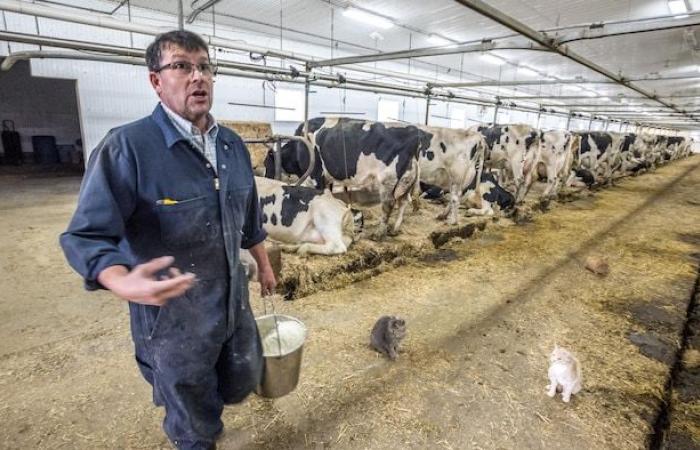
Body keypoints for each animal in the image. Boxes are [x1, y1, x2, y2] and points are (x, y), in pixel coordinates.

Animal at [264, 117, 432, 239]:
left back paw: (379, 233)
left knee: (388, 204)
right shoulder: (327, 178)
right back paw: (394, 229)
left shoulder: (316, 175)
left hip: (388, 179)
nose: (265, 177)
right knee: (403, 201)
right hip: (406, 180)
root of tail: (413, 131)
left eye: (266, 163)